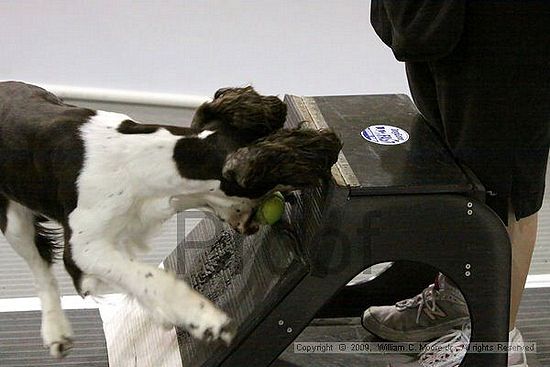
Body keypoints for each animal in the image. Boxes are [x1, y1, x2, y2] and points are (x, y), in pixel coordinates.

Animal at [0, 82, 342, 360]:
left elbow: (137, 277)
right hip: (14, 220)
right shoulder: (83, 249)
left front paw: (169, 312)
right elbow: (149, 276)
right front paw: (205, 319)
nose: (287, 198)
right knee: (40, 269)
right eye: (275, 173)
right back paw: (55, 331)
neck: (144, 159)